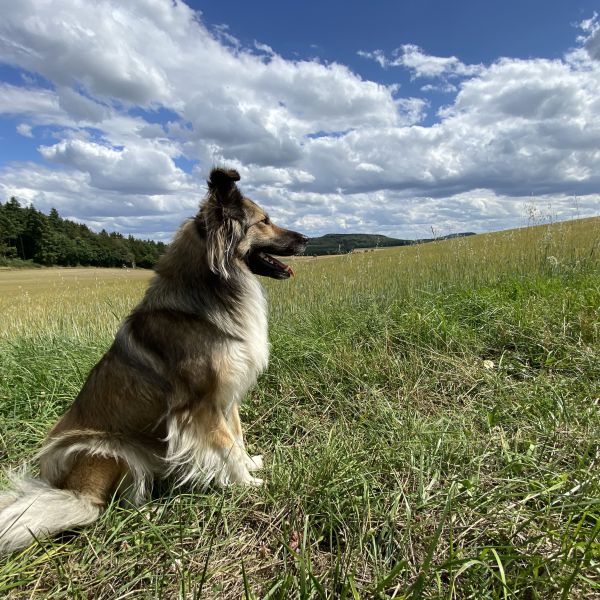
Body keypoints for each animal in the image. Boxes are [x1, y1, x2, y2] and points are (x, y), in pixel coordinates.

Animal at [0, 166, 308, 556]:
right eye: (264, 221)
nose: (308, 239)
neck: (209, 292)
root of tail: (73, 490)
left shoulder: (227, 396)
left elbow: (237, 438)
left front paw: (249, 465)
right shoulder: (201, 406)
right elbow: (226, 446)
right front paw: (248, 483)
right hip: (112, 450)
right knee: (108, 505)